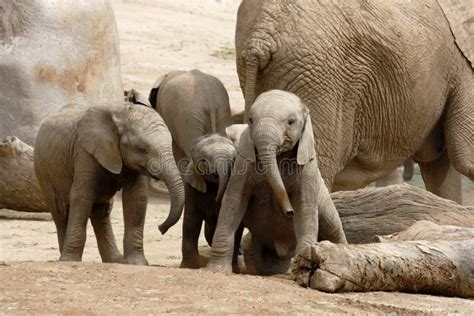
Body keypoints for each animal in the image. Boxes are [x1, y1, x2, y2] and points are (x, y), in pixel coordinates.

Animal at [33, 102, 184, 264]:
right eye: (143, 149)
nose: (161, 228)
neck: (122, 114)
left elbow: (136, 198)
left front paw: (137, 263)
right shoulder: (84, 152)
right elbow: (82, 196)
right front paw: (70, 260)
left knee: (102, 211)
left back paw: (114, 260)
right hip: (43, 170)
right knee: (60, 212)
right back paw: (65, 258)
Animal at [207, 90, 348, 276]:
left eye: (291, 122)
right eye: (250, 120)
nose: (289, 211)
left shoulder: (308, 169)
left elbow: (305, 208)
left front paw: (303, 267)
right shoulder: (243, 162)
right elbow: (233, 203)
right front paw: (217, 270)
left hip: (325, 199)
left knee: (333, 228)